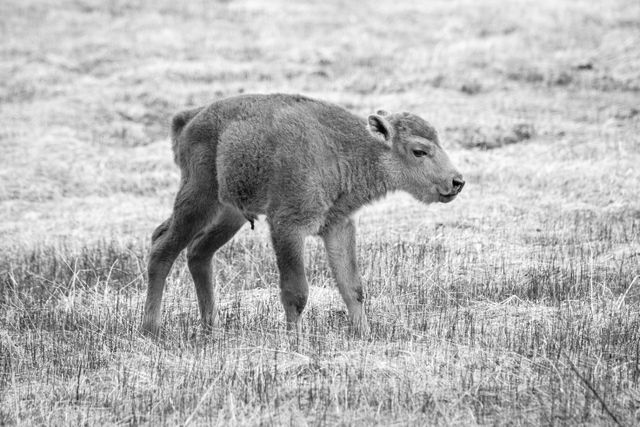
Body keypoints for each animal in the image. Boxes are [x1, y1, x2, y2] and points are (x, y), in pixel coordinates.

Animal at [144, 93, 464, 338]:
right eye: (419, 151)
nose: (456, 182)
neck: (343, 149)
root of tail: (188, 118)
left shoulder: (338, 226)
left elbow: (352, 286)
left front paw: (365, 335)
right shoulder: (288, 227)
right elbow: (296, 292)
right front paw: (295, 340)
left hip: (229, 214)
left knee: (198, 253)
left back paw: (211, 328)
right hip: (199, 199)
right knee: (163, 248)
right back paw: (152, 328)